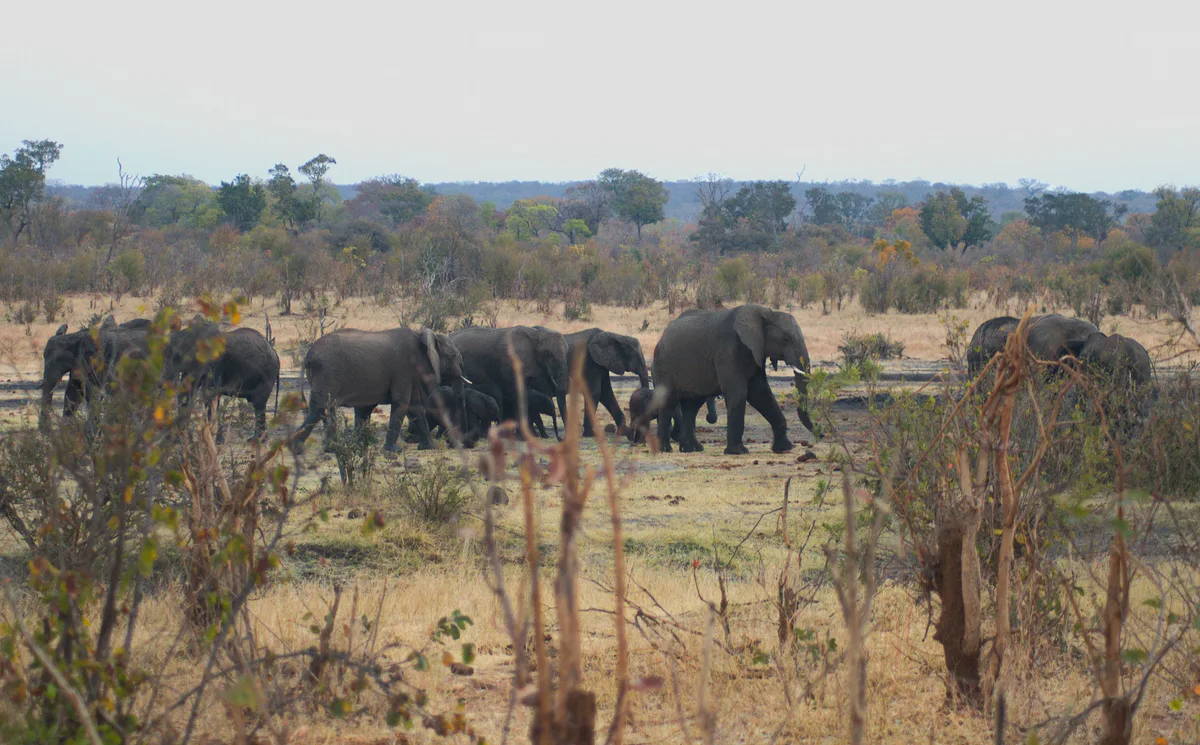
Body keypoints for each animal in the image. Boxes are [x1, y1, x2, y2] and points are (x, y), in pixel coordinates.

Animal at [296, 327, 463, 451]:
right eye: (453, 355)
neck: (423, 337)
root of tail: (308, 356)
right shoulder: (403, 369)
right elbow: (402, 403)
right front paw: (393, 451)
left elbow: (415, 407)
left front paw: (427, 447)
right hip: (326, 374)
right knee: (318, 410)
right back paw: (298, 447)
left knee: (323, 410)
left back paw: (325, 448)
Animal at [652, 304, 814, 455]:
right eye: (786, 339)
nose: (819, 433)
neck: (766, 314)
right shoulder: (728, 349)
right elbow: (739, 393)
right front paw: (738, 451)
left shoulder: (756, 352)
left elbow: (761, 394)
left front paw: (784, 448)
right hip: (663, 367)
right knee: (668, 403)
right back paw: (665, 449)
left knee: (691, 406)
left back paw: (692, 449)